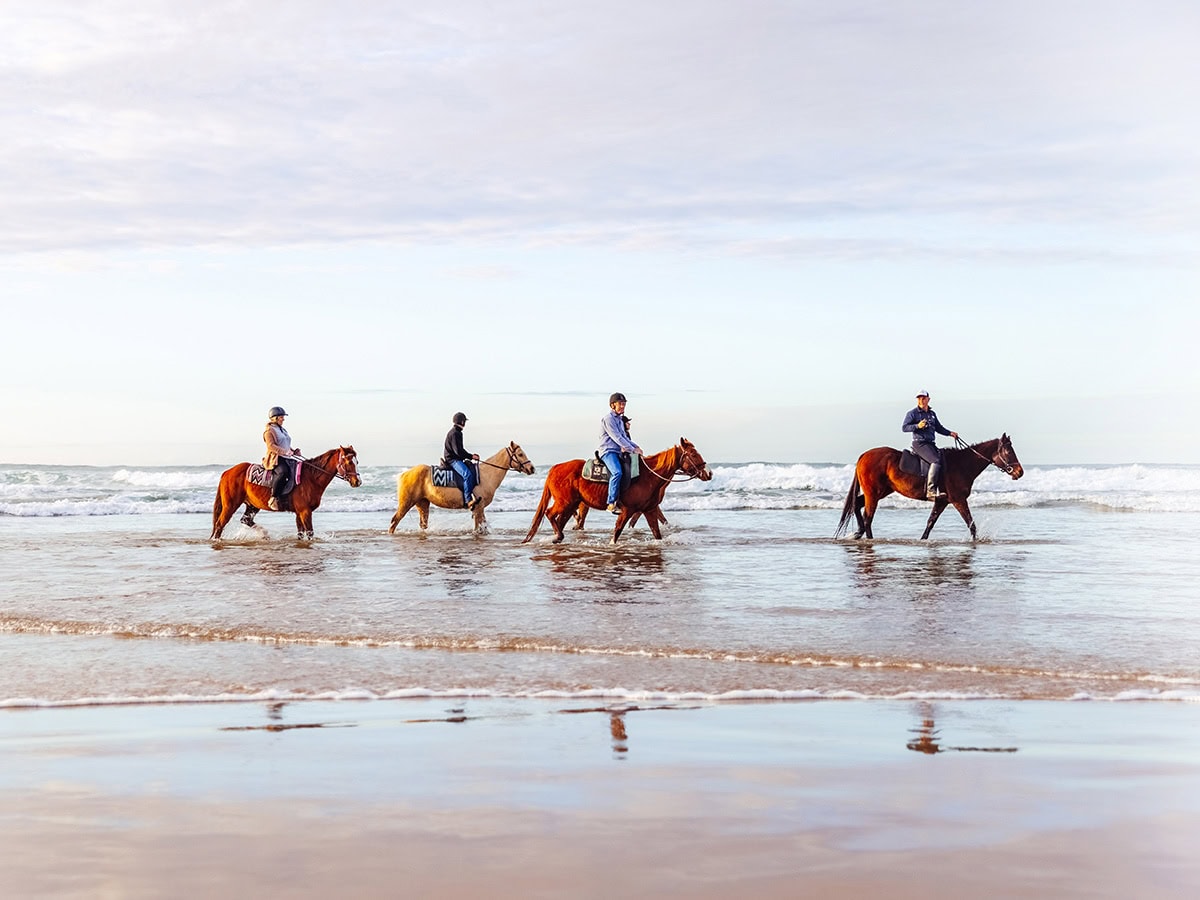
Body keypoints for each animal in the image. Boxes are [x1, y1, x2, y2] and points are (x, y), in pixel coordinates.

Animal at [211, 446, 360, 542]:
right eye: (348, 461)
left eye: (356, 461)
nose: (357, 481)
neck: (311, 477)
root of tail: (227, 472)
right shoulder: (305, 512)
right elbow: (310, 533)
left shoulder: (299, 513)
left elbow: (300, 534)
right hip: (230, 505)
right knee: (220, 524)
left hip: (252, 505)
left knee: (246, 520)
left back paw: (264, 534)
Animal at [388, 444, 535, 535]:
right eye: (520, 454)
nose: (532, 468)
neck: (487, 474)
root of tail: (405, 474)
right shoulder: (479, 507)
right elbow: (479, 527)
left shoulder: (479, 509)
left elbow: (482, 526)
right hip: (406, 503)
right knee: (395, 521)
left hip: (422, 504)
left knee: (422, 524)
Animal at [520, 441, 705, 547]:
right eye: (693, 454)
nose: (707, 472)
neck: (648, 475)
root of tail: (554, 468)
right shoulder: (627, 510)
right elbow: (617, 531)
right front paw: (611, 545)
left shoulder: (650, 510)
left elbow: (657, 533)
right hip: (564, 502)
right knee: (549, 513)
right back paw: (558, 536)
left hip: (571, 504)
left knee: (560, 520)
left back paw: (557, 538)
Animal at [835, 436, 1022, 542]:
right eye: (1008, 451)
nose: (1020, 472)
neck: (962, 464)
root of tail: (863, 456)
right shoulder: (959, 500)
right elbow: (972, 525)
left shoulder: (942, 501)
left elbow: (930, 523)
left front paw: (922, 540)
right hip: (873, 494)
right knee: (868, 517)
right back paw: (869, 539)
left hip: (880, 492)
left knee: (856, 505)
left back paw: (858, 534)